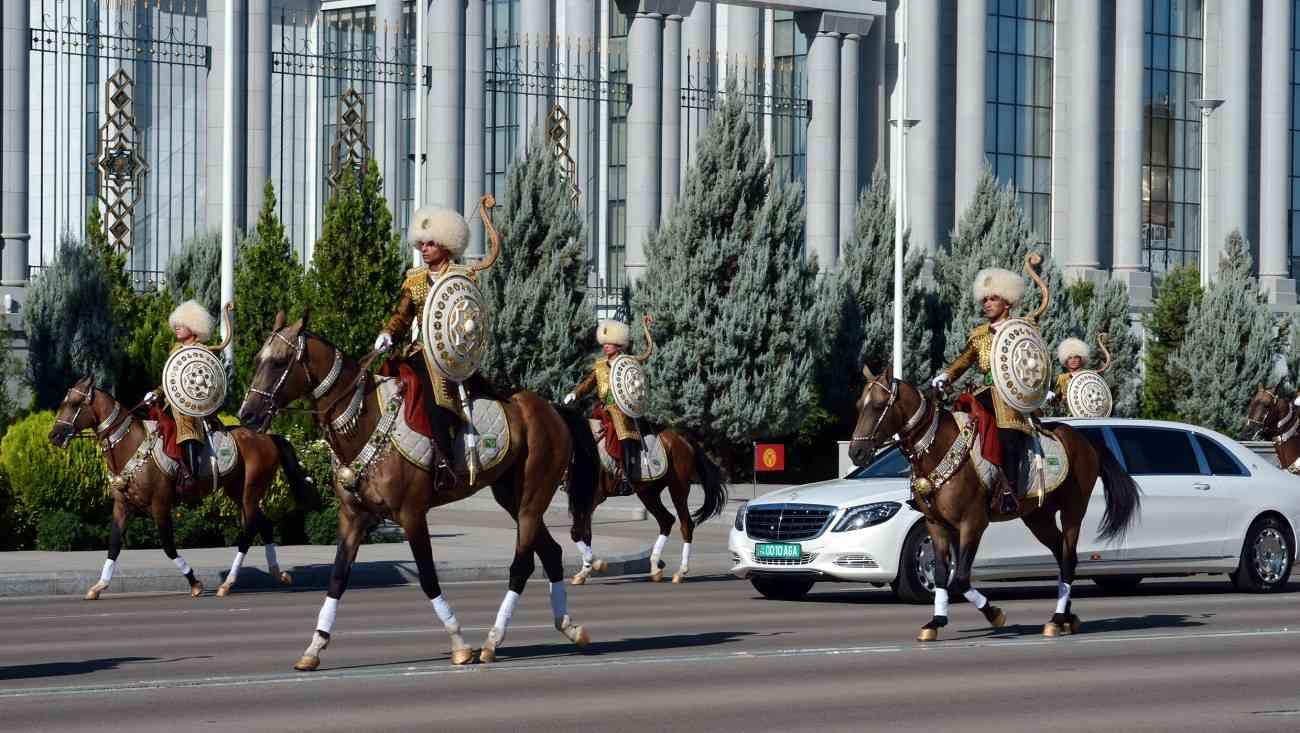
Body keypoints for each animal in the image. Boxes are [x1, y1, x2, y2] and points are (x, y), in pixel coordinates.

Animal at [48, 376, 318, 600]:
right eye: (63, 402)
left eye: (74, 403)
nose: (54, 435)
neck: (132, 447)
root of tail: (266, 437)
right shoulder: (122, 506)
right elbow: (114, 545)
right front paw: (99, 586)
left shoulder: (160, 505)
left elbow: (168, 546)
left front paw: (195, 583)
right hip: (237, 491)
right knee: (264, 524)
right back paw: (278, 573)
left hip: (250, 490)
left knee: (249, 530)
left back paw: (228, 583)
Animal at [237, 313, 599, 670]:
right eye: (257, 360)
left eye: (279, 362)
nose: (247, 414)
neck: (366, 420)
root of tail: (552, 409)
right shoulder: (353, 517)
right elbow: (338, 578)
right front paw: (314, 647)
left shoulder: (411, 514)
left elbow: (427, 576)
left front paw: (459, 643)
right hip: (513, 497)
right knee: (551, 553)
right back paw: (569, 628)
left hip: (529, 501)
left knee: (522, 565)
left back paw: (492, 641)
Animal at [568, 428, 728, 585]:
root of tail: (681, 438)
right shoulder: (582, 501)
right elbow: (585, 533)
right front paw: (584, 571)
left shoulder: (592, 500)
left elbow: (578, 532)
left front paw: (595, 565)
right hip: (648, 493)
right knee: (666, 520)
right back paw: (655, 568)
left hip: (678, 488)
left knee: (686, 524)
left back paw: (680, 572)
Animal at [847, 364, 1141, 641]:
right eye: (859, 405)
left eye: (877, 406)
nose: (856, 453)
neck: (940, 449)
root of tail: (1087, 442)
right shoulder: (935, 525)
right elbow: (942, 574)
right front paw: (935, 622)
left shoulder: (972, 523)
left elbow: (961, 578)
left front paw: (994, 614)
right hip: (1038, 517)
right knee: (1062, 554)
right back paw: (1067, 618)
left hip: (1073, 511)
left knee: (1068, 558)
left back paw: (1057, 619)